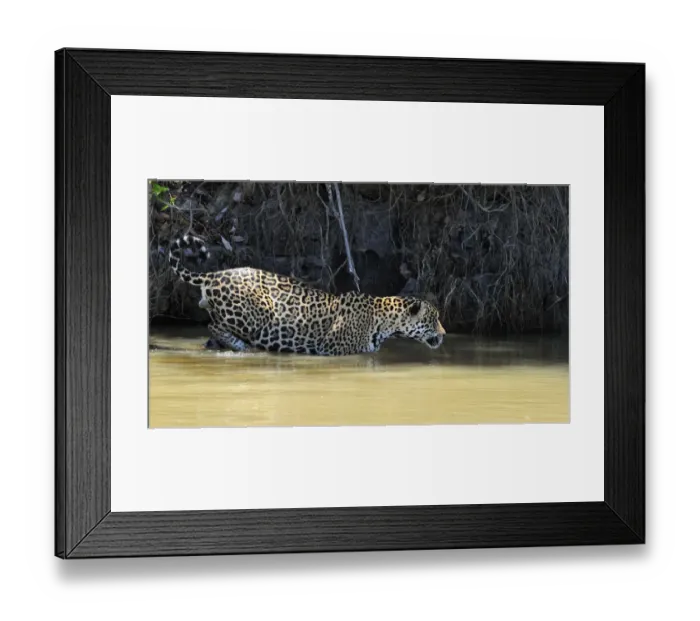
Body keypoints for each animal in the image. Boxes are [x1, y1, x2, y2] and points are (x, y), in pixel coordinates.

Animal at [168, 235, 446, 356]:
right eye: (433, 319)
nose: (444, 334)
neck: (386, 321)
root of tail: (214, 275)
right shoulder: (332, 349)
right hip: (257, 313)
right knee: (213, 325)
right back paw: (242, 346)